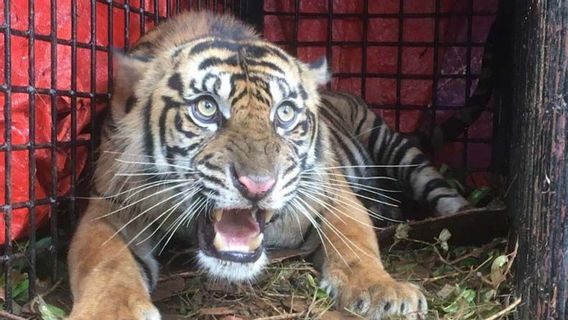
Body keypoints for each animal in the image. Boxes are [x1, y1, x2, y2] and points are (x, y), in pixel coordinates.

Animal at [67, 10, 466, 320]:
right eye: (206, 107)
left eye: (285, 113)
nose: (258, 186)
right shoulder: (113, 204)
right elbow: (104, 261)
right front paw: (107, 312)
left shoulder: (331, 193)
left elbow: (356, 242)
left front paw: (385, 290)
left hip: (396, 146)